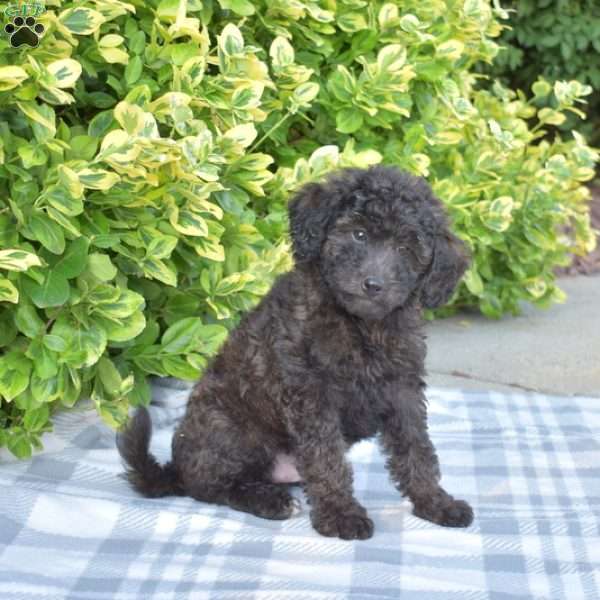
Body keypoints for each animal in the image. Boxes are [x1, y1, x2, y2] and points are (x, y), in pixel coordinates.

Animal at [117, 166, 474, 540]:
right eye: (359, 234)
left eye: (406, 248)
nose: (373, 284)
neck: (360, 326)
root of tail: (175, 468)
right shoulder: (311, 392)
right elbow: (326, 458)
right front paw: (341, 514)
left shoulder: (402, 389)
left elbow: (417, 449)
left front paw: (436, 502)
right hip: (232, 429)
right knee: (211, 486)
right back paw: (270, 501)